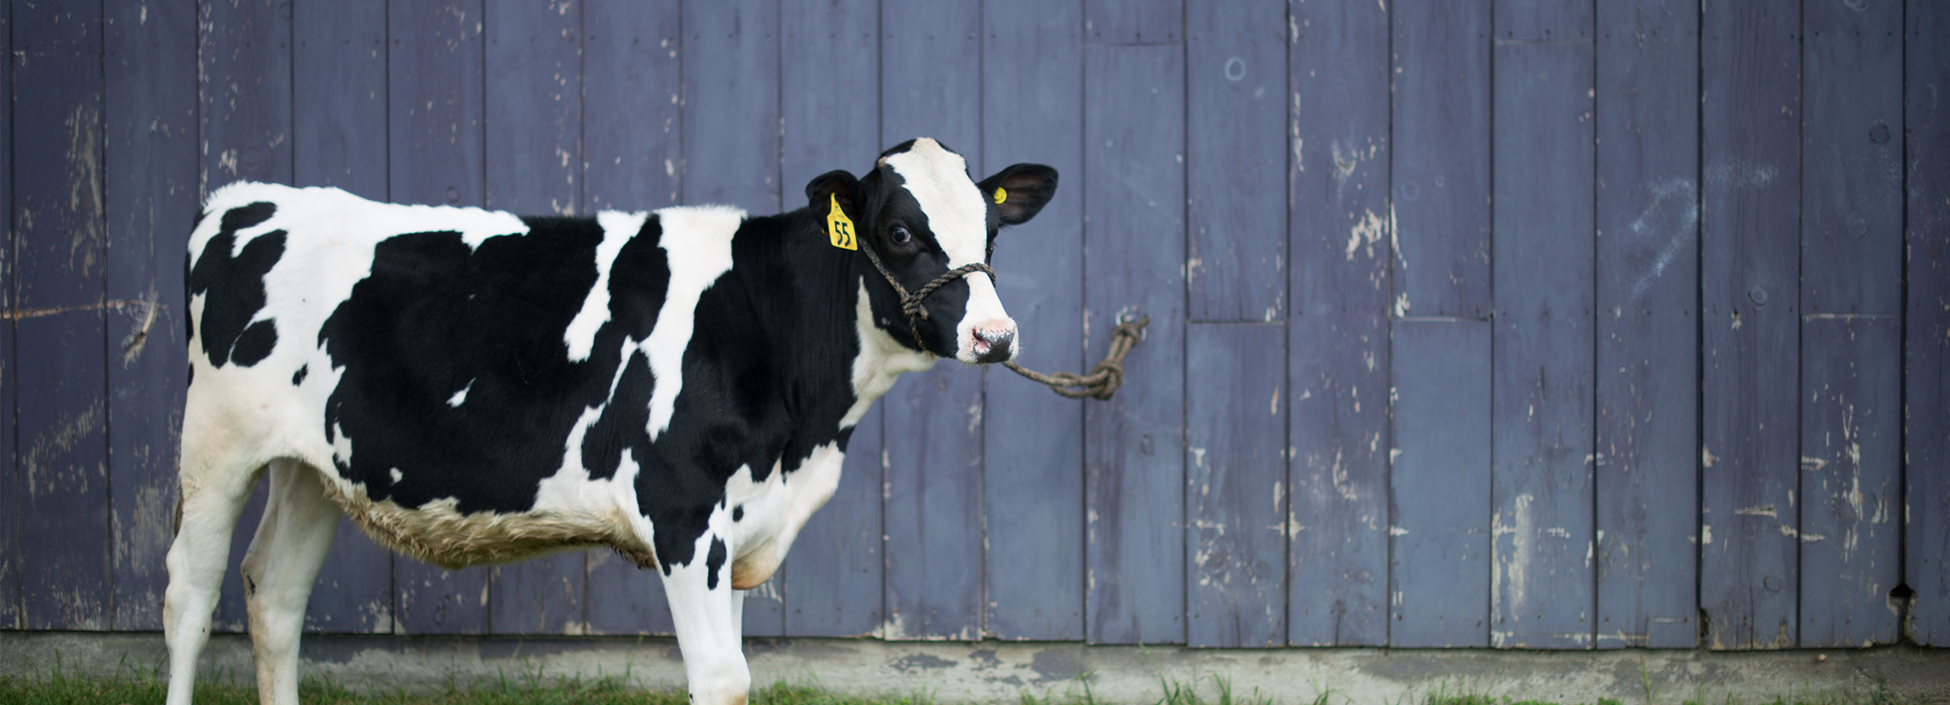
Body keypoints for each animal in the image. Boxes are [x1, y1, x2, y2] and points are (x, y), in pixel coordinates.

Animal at [159, 139, 1060, 705]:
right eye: (901, 231)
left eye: (991, 230)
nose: (996, 335)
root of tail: (242, 199)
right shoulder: (683, 511)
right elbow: (721, 678)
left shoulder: (739, 522)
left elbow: (731, 671)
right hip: (213, 446)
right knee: (189, 596)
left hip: (314, 465)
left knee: (274, 596)